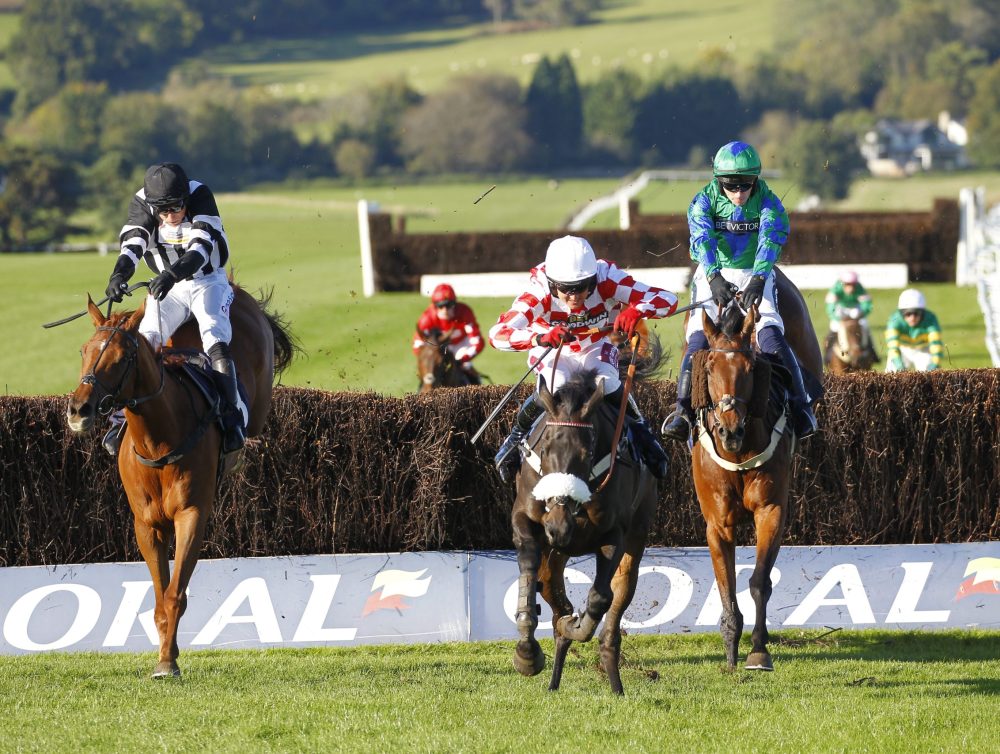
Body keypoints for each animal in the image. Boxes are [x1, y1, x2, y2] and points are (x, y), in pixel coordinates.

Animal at [64, 286, 292, 676]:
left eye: (121, 357)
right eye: (84, 350)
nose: (79, 410)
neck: (159, 439)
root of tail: (238, 289)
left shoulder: (191, 514)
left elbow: (174, 595)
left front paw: (168, 662)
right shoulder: (147, 524)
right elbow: (159, 596)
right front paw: (163, 656)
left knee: (220, 348)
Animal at [512, 366, 660, 692]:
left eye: (587, 452)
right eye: (545, 448)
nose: (557, 526)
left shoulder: (614, 534)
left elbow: (600, 598)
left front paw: (575, 625)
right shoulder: (524, 518)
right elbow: (528, 571)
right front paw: (527, 653)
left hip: (637, 533)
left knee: (618, 594)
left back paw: (614, 682)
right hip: (555, 557)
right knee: (551, 591)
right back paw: (554, 678)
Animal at [692, 268, 824, 668]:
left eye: (750, 367)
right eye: (709, 367)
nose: (730, 429)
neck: (737, 455)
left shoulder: (771, 508)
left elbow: (758, 581)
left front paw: (758, 649)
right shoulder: (718, 521)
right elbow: (727, 583)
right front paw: (730, 644)